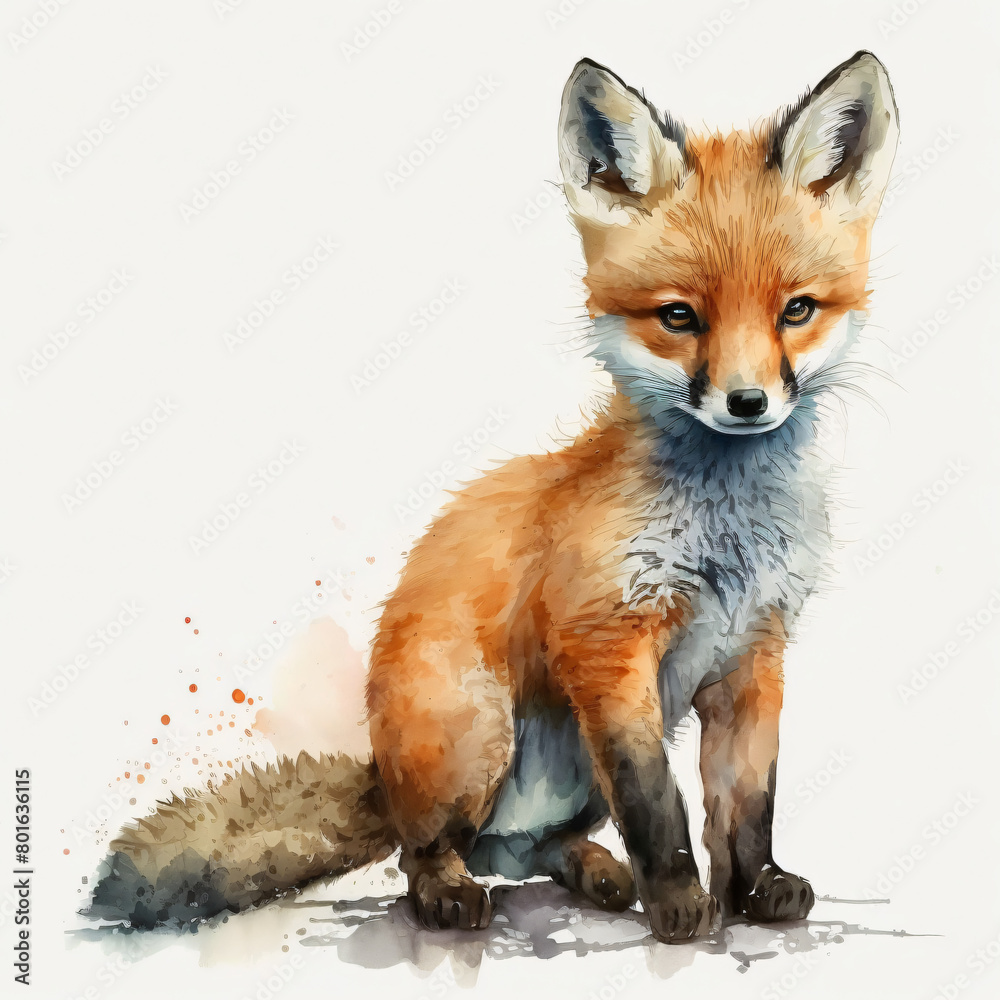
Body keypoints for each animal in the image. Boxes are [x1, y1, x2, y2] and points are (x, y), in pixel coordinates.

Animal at [88, 51, 898, 943]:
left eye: (797, 310)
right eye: (680, 317)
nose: (748, 403)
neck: (725, 537)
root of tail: (381, 770)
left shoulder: (755, 651)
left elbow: (748, 803)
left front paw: (757, 890)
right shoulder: (606, 645)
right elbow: (657, 802)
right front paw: (681, 905)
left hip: (563, 771)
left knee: (524, 848)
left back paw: (593, 871)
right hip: (479, 732)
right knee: (425, 853)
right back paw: (451, 895)